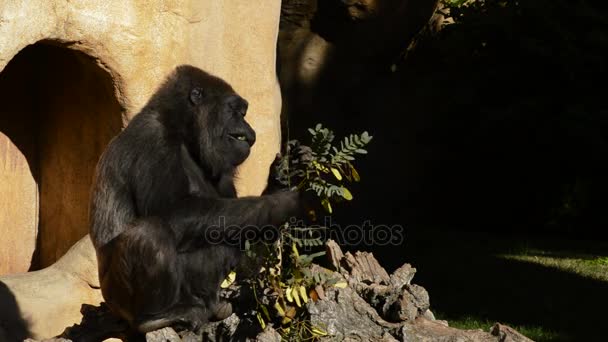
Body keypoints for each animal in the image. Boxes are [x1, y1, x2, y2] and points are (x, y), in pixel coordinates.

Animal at [90, 65, 304, 336]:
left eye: (242, 113)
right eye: (235, 110)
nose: (247, 128)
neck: (182, 131)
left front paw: (280, 179)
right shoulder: (153, 139)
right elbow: (174, 212)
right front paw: (286, 202)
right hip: (117, 303)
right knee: (150, 233)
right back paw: (153, 317)